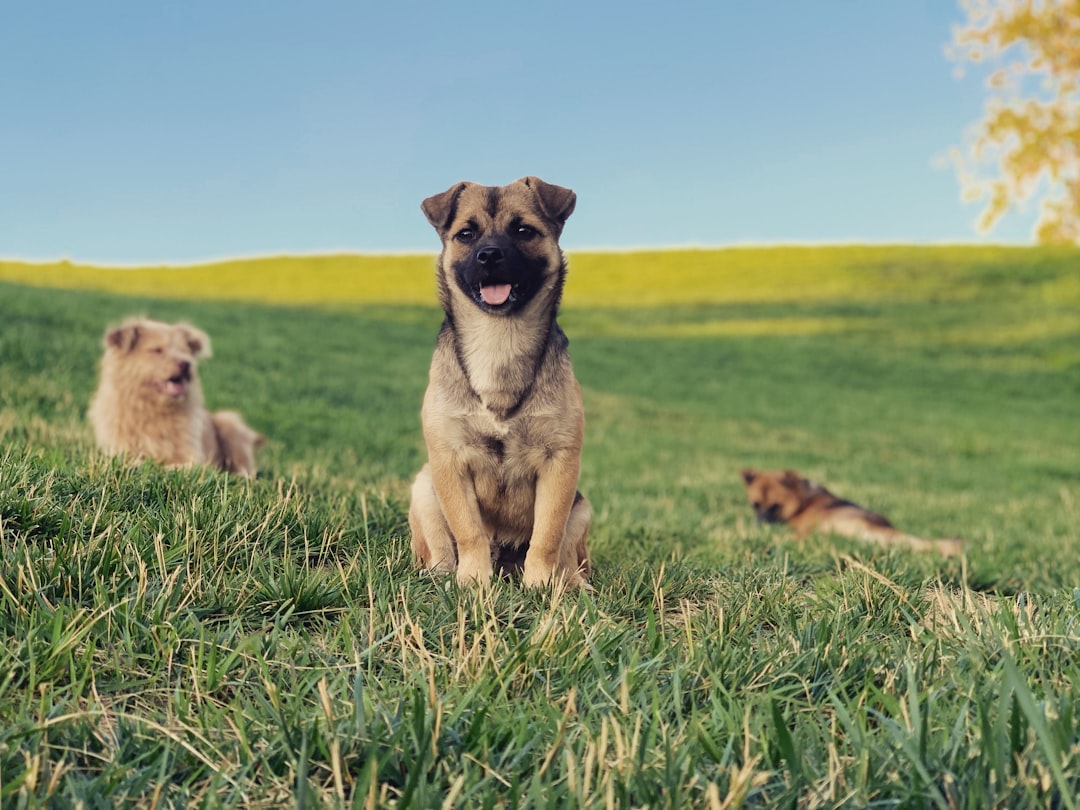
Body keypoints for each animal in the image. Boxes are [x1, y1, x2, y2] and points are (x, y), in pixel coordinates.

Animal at [88, 317, 263, 479]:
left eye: (184, 351)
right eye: (157, 350)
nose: (186, 364)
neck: (154, 410)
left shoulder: (192, 455)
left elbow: (180, 466)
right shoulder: (119, 449)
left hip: (230, 424)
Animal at [406, 176, 596, 591]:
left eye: (523, 231)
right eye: (466, 234)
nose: (489, 255)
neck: (498, 337)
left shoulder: (560, 463)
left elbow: (547, 535)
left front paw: (540, 586)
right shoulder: (450, 460)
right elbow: (469, 530)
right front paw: (473, 581)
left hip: (582, 508)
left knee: (568, 554)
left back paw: (572, 583)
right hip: (425, 489)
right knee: (440, 547)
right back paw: (441, 575)